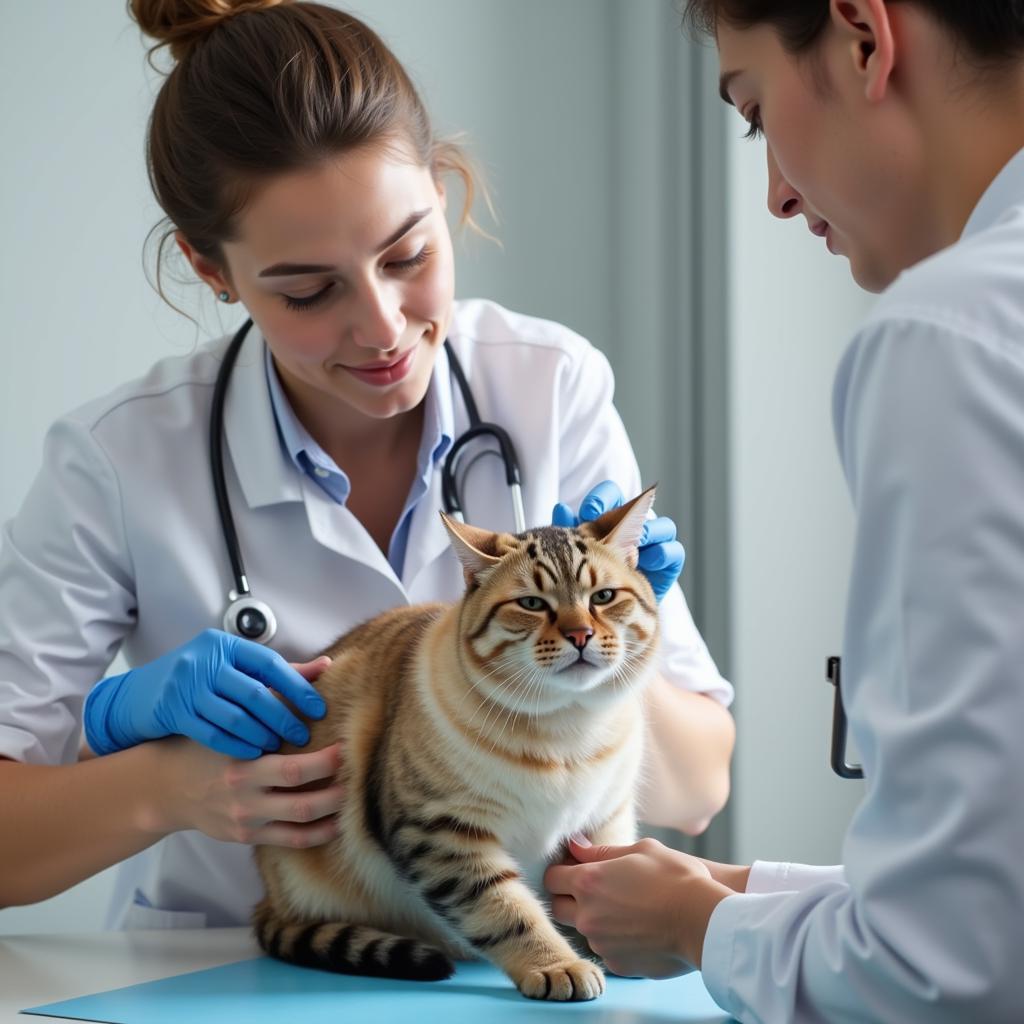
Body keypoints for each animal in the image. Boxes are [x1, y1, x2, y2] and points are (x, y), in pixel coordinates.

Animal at [251, 485, 659, 999]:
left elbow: (596, 880)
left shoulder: (605, 819)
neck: (567, 727)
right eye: (532, 604)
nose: (581, 634)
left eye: (603, 597)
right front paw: (557, 965)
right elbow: (506, 910)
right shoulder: (440, 831)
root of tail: (266, 893)